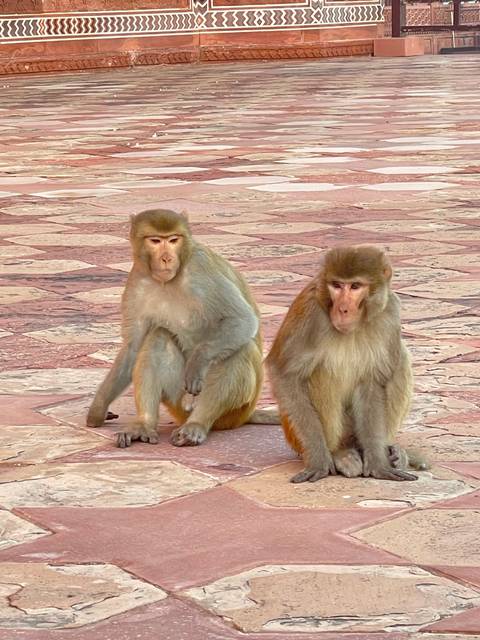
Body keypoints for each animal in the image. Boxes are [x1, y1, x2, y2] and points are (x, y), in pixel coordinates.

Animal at [86, 208, 274, 447]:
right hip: (176, 402)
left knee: (241, 349)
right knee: (158, 337)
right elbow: (133, 347)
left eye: (174, 240)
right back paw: (144, 424)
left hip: (234, 412)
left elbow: (241, 319)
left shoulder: (201, 269)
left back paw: (196, 425)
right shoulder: (137, 279)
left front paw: (197, 362)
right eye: (156, 241)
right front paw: (99, 407)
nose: (166, 258)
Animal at [266, 245, 427, 483]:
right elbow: (284, 374)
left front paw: (378, 463)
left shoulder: (390, 313)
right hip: (296, 437)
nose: (342, 309)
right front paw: (319, 461)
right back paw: (339, 454)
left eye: (355, 286)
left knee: (401, 358)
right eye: (336, 285)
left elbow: (372, 380)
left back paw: (389, 451)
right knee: (321, 372)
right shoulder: (310, 311)